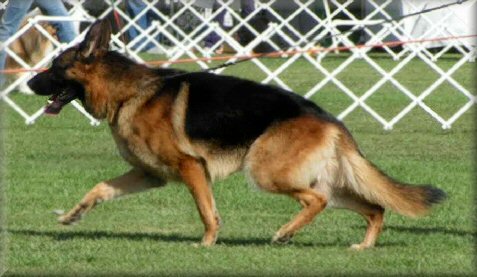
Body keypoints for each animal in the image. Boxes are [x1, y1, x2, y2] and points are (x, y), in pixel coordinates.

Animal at [27, 20, 446, 248]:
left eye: (54, 67)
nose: (28, 82)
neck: (129, 92)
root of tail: (330, 120)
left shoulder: (192, 168)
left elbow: (206, 212)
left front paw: (206, 243)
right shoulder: (148, 175)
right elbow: (99, 188)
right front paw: (72, 216)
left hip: (266, 171)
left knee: (317, 201)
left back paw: (284, 233)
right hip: (327, 182)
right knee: (374, 207)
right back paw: (362, 246)